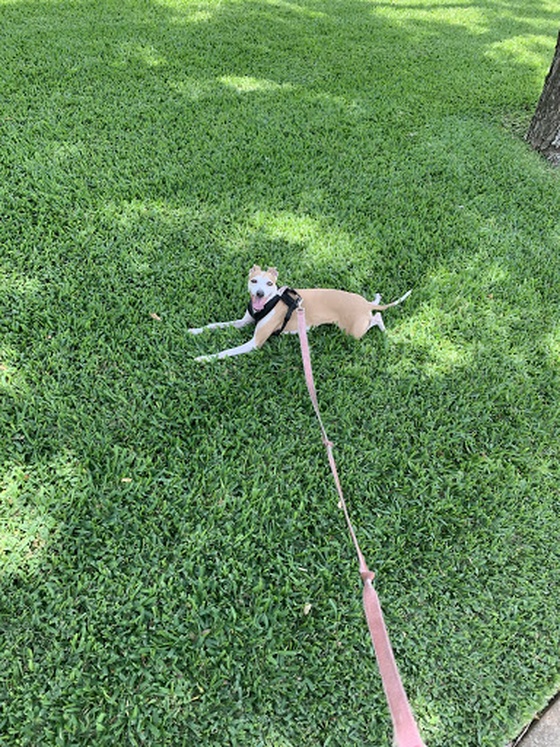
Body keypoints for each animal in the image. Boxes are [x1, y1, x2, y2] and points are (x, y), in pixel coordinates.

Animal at [189, 266, 412, 362]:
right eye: (254, 281)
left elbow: (226, 351)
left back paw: (381, 324)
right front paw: (194, 330)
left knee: (376, 318)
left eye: (269, 283)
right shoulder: (244, 322)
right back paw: (376, 298)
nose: (259, 293)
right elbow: (215, 325)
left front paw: (204, 357)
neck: (271, 302)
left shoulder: (254, 343)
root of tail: (363, 304)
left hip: (353, 331)